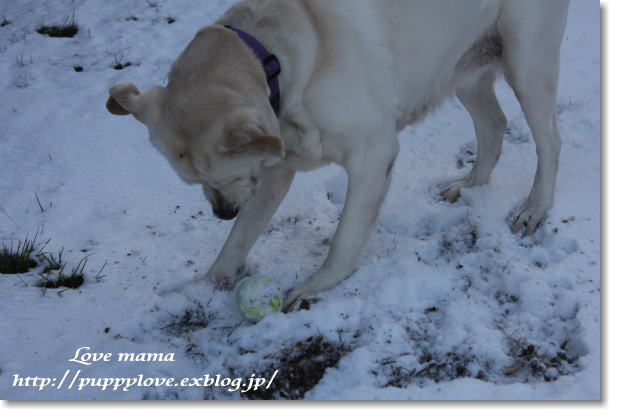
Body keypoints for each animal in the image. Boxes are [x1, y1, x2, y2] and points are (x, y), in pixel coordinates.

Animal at [105, 0, 568, 308]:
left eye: (224, 176)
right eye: (195, 183)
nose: (221, 211)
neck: (276, 61)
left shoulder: (373, 153)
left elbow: (344, 239)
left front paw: (315, 286)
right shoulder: (273, 170)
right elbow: (242, 234)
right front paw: (211, 280)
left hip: (527, 60)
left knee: (549, 140)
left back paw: (534, 208)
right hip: (460, 66)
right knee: (493, 125)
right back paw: (469, 184)